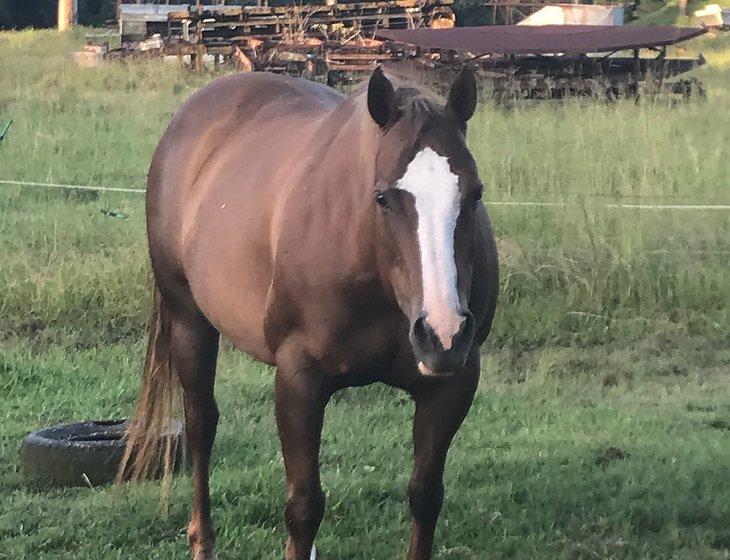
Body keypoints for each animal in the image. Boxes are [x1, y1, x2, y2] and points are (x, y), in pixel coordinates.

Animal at [123, 66, 500, 560]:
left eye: (474, 194)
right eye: (383, 197)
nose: (443, 333)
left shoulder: (452, 385)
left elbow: (425, 496)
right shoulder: (300, 380)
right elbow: (303, 509)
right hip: (191, 324)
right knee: (201, 426)